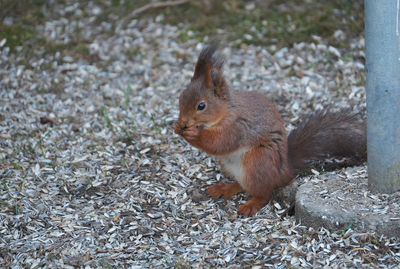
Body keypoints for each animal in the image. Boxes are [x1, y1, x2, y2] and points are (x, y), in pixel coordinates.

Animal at [173, 44, 368, 216]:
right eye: (181, 98)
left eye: (201, 106)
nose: (184, 122)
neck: (226, 112)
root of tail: (284, 171)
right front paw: (176, 126)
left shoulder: (238, 126)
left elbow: (220, 143)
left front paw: (193, 134)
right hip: (230, 166)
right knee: (242, 185)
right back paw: (225, 188)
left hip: (257, 161)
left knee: (264, 193)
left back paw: (250, 205)